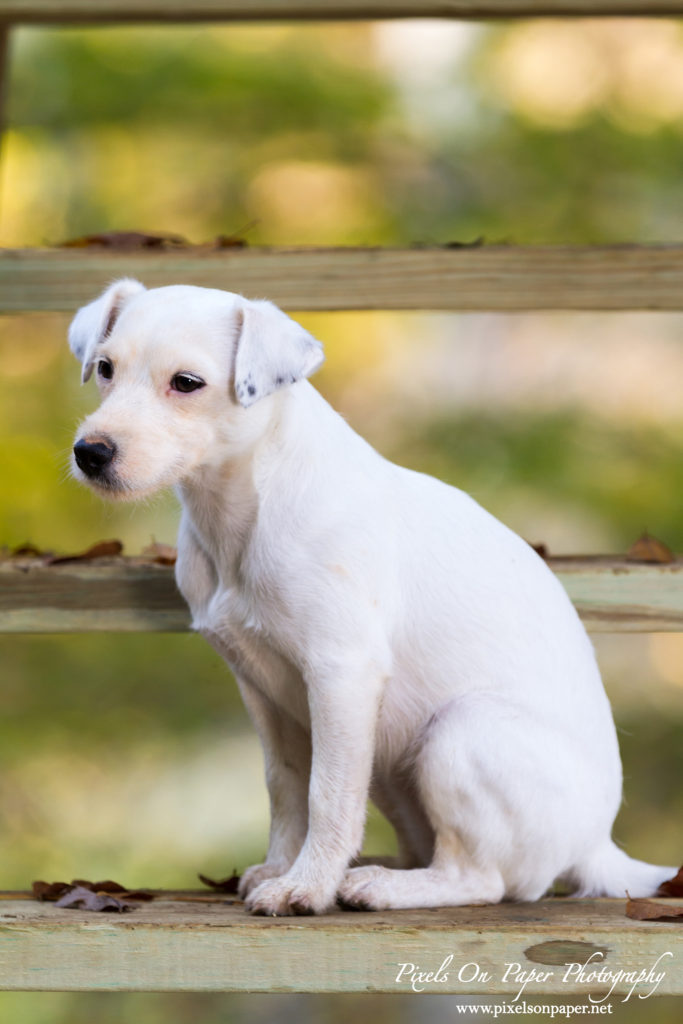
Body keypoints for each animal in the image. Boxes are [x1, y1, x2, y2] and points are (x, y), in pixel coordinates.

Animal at [68, 278, 671, 913]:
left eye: (186, 383)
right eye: (105, 368)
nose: (90, 452)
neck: (244, 511)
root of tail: (597, 845)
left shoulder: (341, 673)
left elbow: (327, 795)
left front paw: (305, 887)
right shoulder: (261, 688)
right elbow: (287, 786)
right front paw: (283, 867)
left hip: (457, 733)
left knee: (482, 879)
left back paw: (382, 885)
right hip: (389, 765)